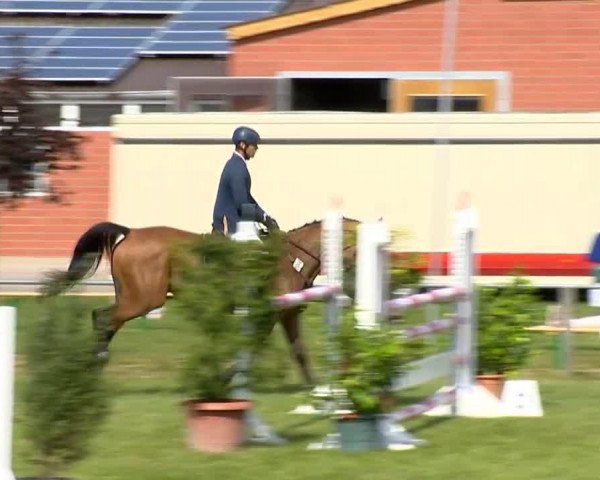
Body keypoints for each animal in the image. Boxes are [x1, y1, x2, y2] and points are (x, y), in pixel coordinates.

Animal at [44, 218, 358, 386]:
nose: (354, 290)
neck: (291, 258)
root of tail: (130, 232)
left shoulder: (279, 314)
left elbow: (278, 347)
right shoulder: (278, 313)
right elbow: (285, 349)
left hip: (133, 298)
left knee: (105, 319)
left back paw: (94, 364)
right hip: (143, 300)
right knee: (104, 318)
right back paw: (97, 362)